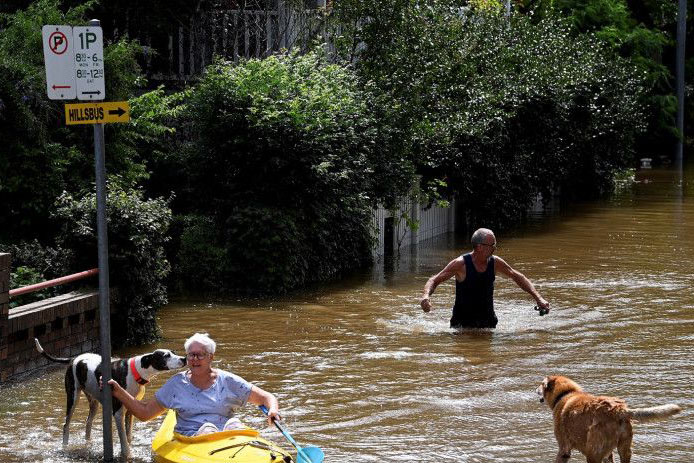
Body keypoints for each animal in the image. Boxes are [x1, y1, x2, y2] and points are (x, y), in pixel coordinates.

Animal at [34, 338, 186, 460]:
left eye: (173, 352)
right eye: (166, 356)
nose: (184, 359)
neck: (135, 370)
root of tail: (74, 359)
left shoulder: (131, 409)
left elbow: (128, 436)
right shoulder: (118, 412)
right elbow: (123, 440)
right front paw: (126, 455)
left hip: (93, 403)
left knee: (88, 423)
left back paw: (88, 444)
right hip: (72, 397)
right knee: (66, 425)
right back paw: (65, 447)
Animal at [540, 376, 684, 462]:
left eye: (541, 385)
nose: (536, 390)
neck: (566, 393)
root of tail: (618, 410)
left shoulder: (564, 449)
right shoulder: (608, 454)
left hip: (593, 452)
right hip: (624, 448)